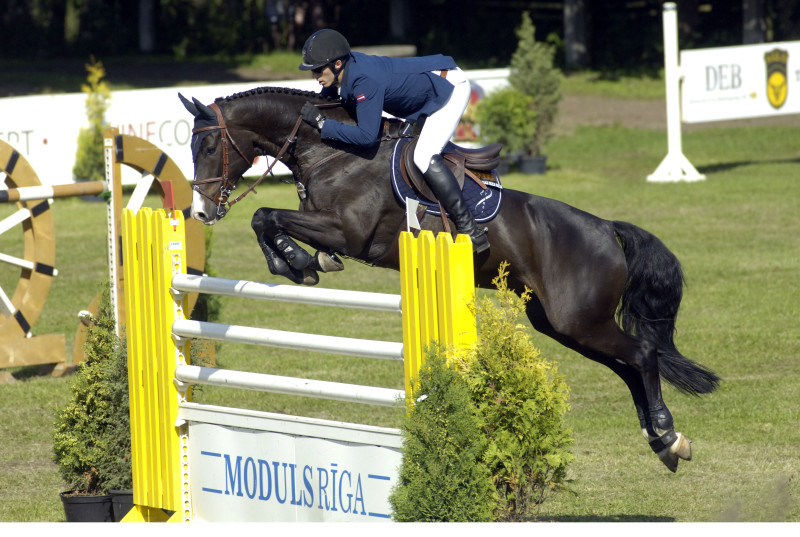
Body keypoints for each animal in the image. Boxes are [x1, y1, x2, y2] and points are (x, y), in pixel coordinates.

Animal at [180, 88, 720, 474]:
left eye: (208, 144)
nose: (200, 212)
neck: (332, 152)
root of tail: (606, 228)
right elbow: (266, 220)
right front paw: (296, 263)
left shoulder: (348, 232)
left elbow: (266, 214)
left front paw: (295, 260)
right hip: (562, 325)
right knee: (628, 366)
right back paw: (660, 439)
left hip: (579, 320)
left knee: (642, 354)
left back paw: (667, 435)